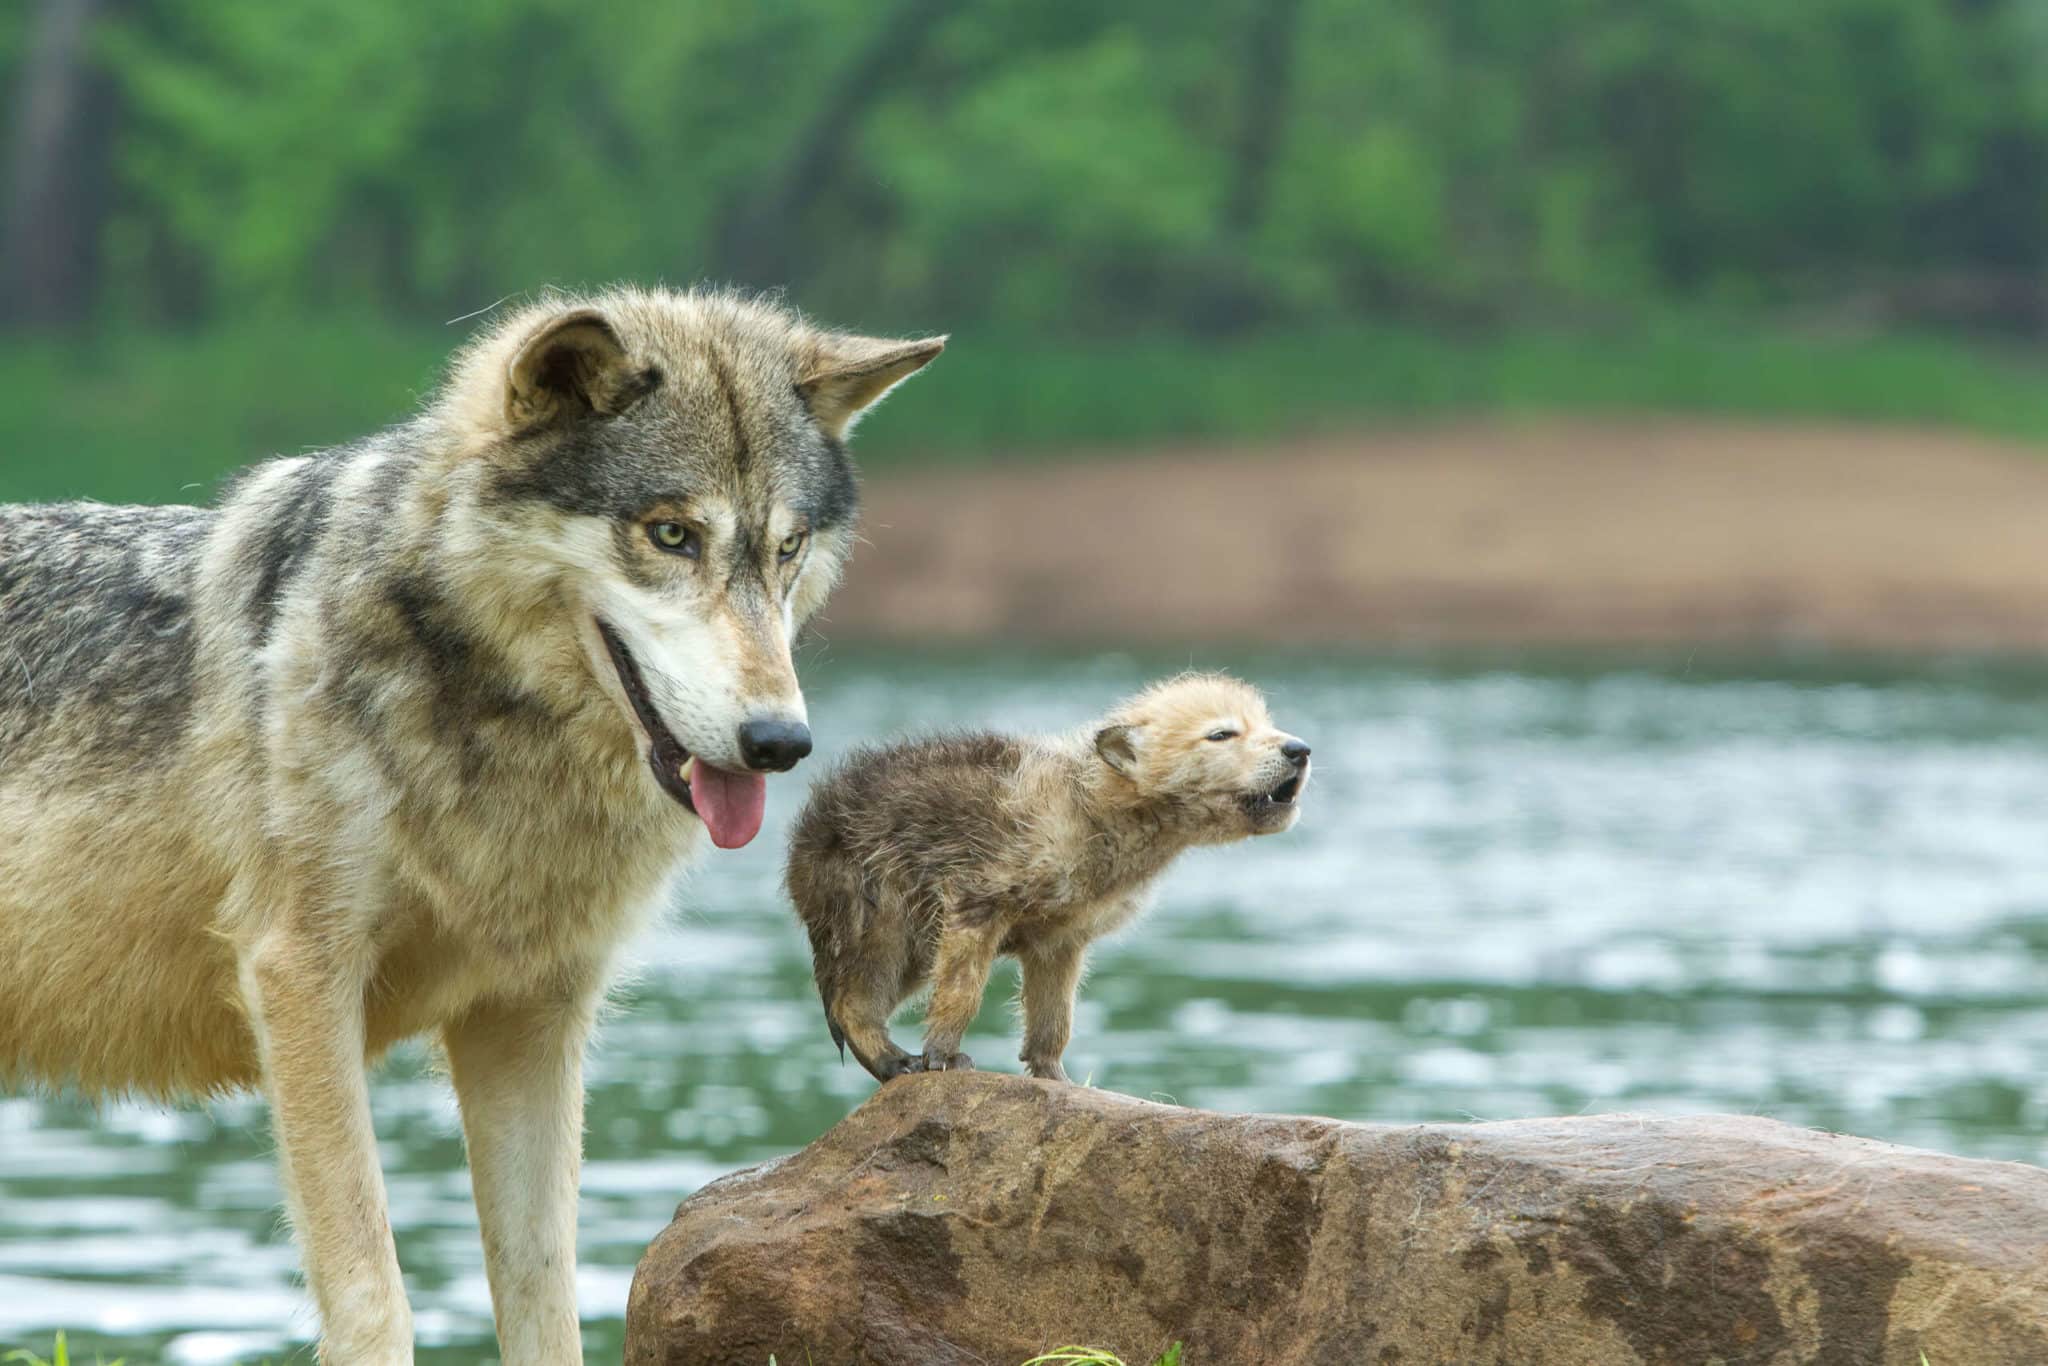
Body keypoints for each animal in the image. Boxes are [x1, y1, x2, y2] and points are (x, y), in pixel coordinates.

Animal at [0, 286, 942, 1359]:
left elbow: (545, 1295)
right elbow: (374, 1294)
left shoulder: (531, 1018)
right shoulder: (300, 981)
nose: (781, 741)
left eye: (786, 548)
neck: (495, 732)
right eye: (670, 535)